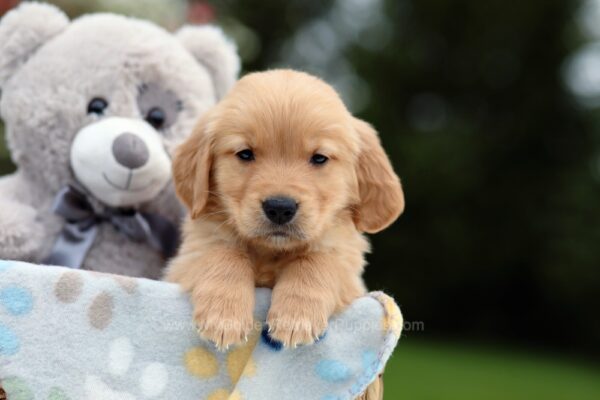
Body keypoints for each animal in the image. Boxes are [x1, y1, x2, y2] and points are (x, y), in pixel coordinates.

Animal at [166, 69, 406, 350]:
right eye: (245, 154)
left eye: (319, 158)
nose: (280, 208)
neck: (271, 253)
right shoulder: (188, 257)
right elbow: (223, 252)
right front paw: (223, 316)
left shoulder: (348, 271)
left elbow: (316, 260)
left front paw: (296, 317)